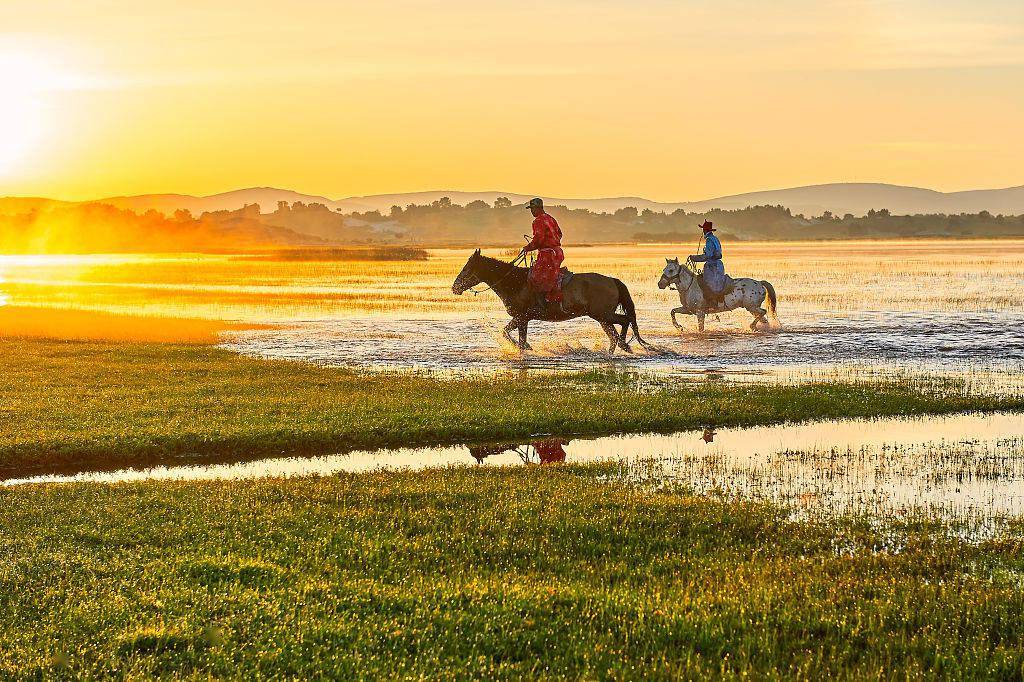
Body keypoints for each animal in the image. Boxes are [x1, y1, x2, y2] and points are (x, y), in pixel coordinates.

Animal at [452, 250, 651, 356]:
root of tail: (612, 280)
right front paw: (525, 348)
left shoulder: (522, 316)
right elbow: (516, 336)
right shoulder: (523, 319)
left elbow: (508, 334)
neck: (515, 282)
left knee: (624, 321)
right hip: (602, 317)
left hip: (602, 314)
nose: (455, 287)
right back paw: (615, 349)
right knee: (613, 334)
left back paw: (624, 345)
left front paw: (524, 348)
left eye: (467, 268)